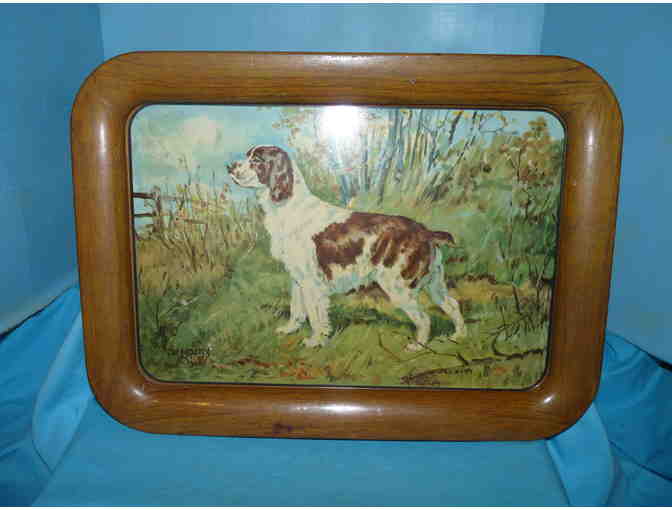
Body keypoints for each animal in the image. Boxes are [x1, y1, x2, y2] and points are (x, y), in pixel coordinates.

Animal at [227, 145, 466, 351]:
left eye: (257, 160)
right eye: (247, 155)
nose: (229, 167)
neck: (288, 207)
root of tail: (425, 232)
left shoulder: (312, 282)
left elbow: (315, 316)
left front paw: (315, 341)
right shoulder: (297, 278)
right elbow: (296, 309)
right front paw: (289, 330)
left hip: (399, 286)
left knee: (424, 319)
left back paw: (417, 347)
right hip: (434, 283)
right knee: (453, 304)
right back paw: (459, 337)